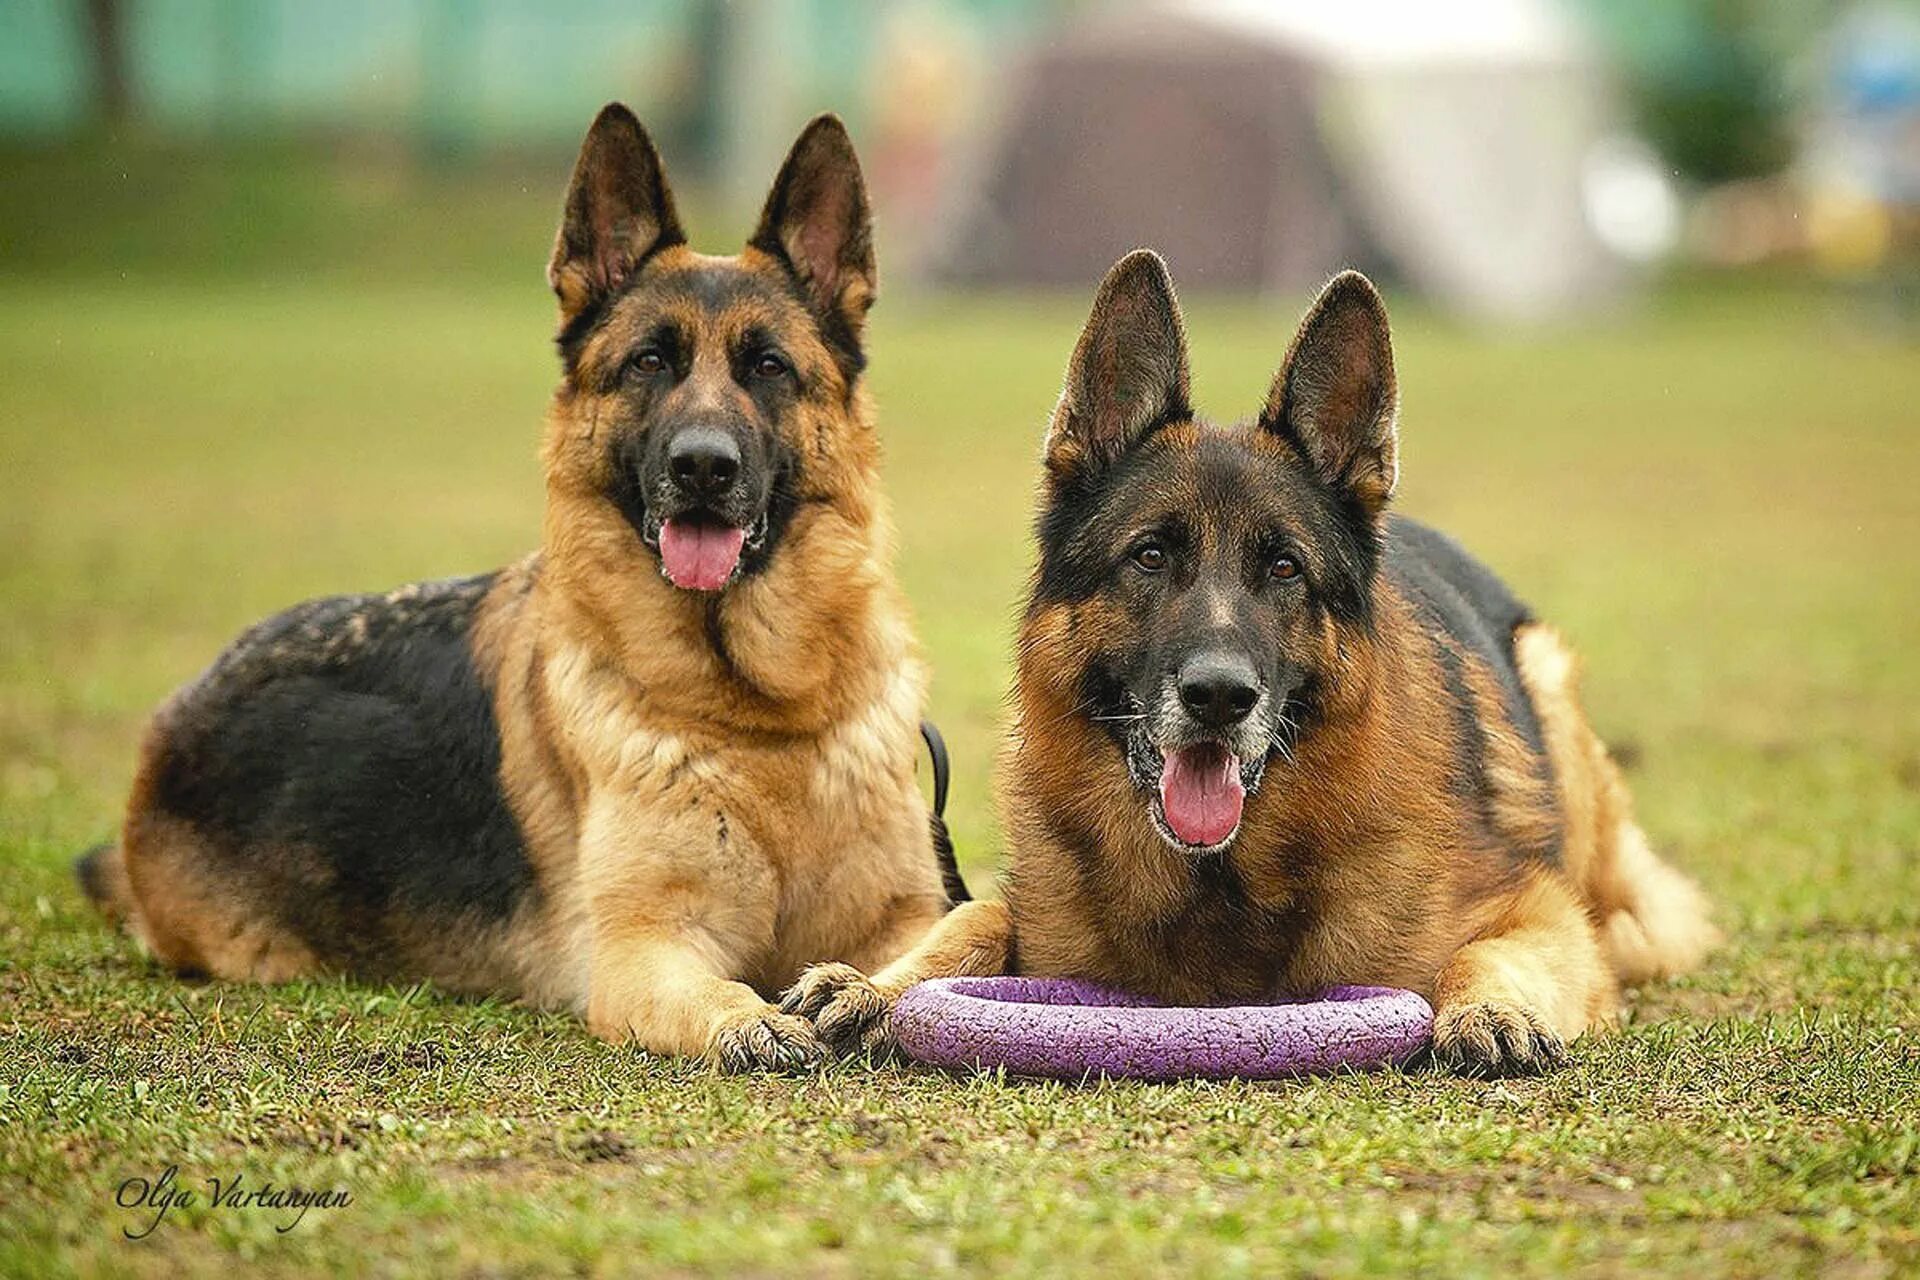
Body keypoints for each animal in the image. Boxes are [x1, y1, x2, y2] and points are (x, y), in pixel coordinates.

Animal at [82, 107, 960, 1074]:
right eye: (649, 363)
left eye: (769, 367)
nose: (702, 467)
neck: (759, 720)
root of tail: (172, 726)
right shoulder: (644, 947)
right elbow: (715, 992)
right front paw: (750, 1022)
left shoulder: (908, 913)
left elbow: (949, 944)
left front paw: (860, 995)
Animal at [787, 249, 1720, 1074]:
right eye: (1150, 555)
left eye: (1284, 568)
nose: (1218, 697)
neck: (1220, 885)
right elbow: (974, 918)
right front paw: (874, 987)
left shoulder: (1537, 911)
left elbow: (1485, 953)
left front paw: (1493, 1011)